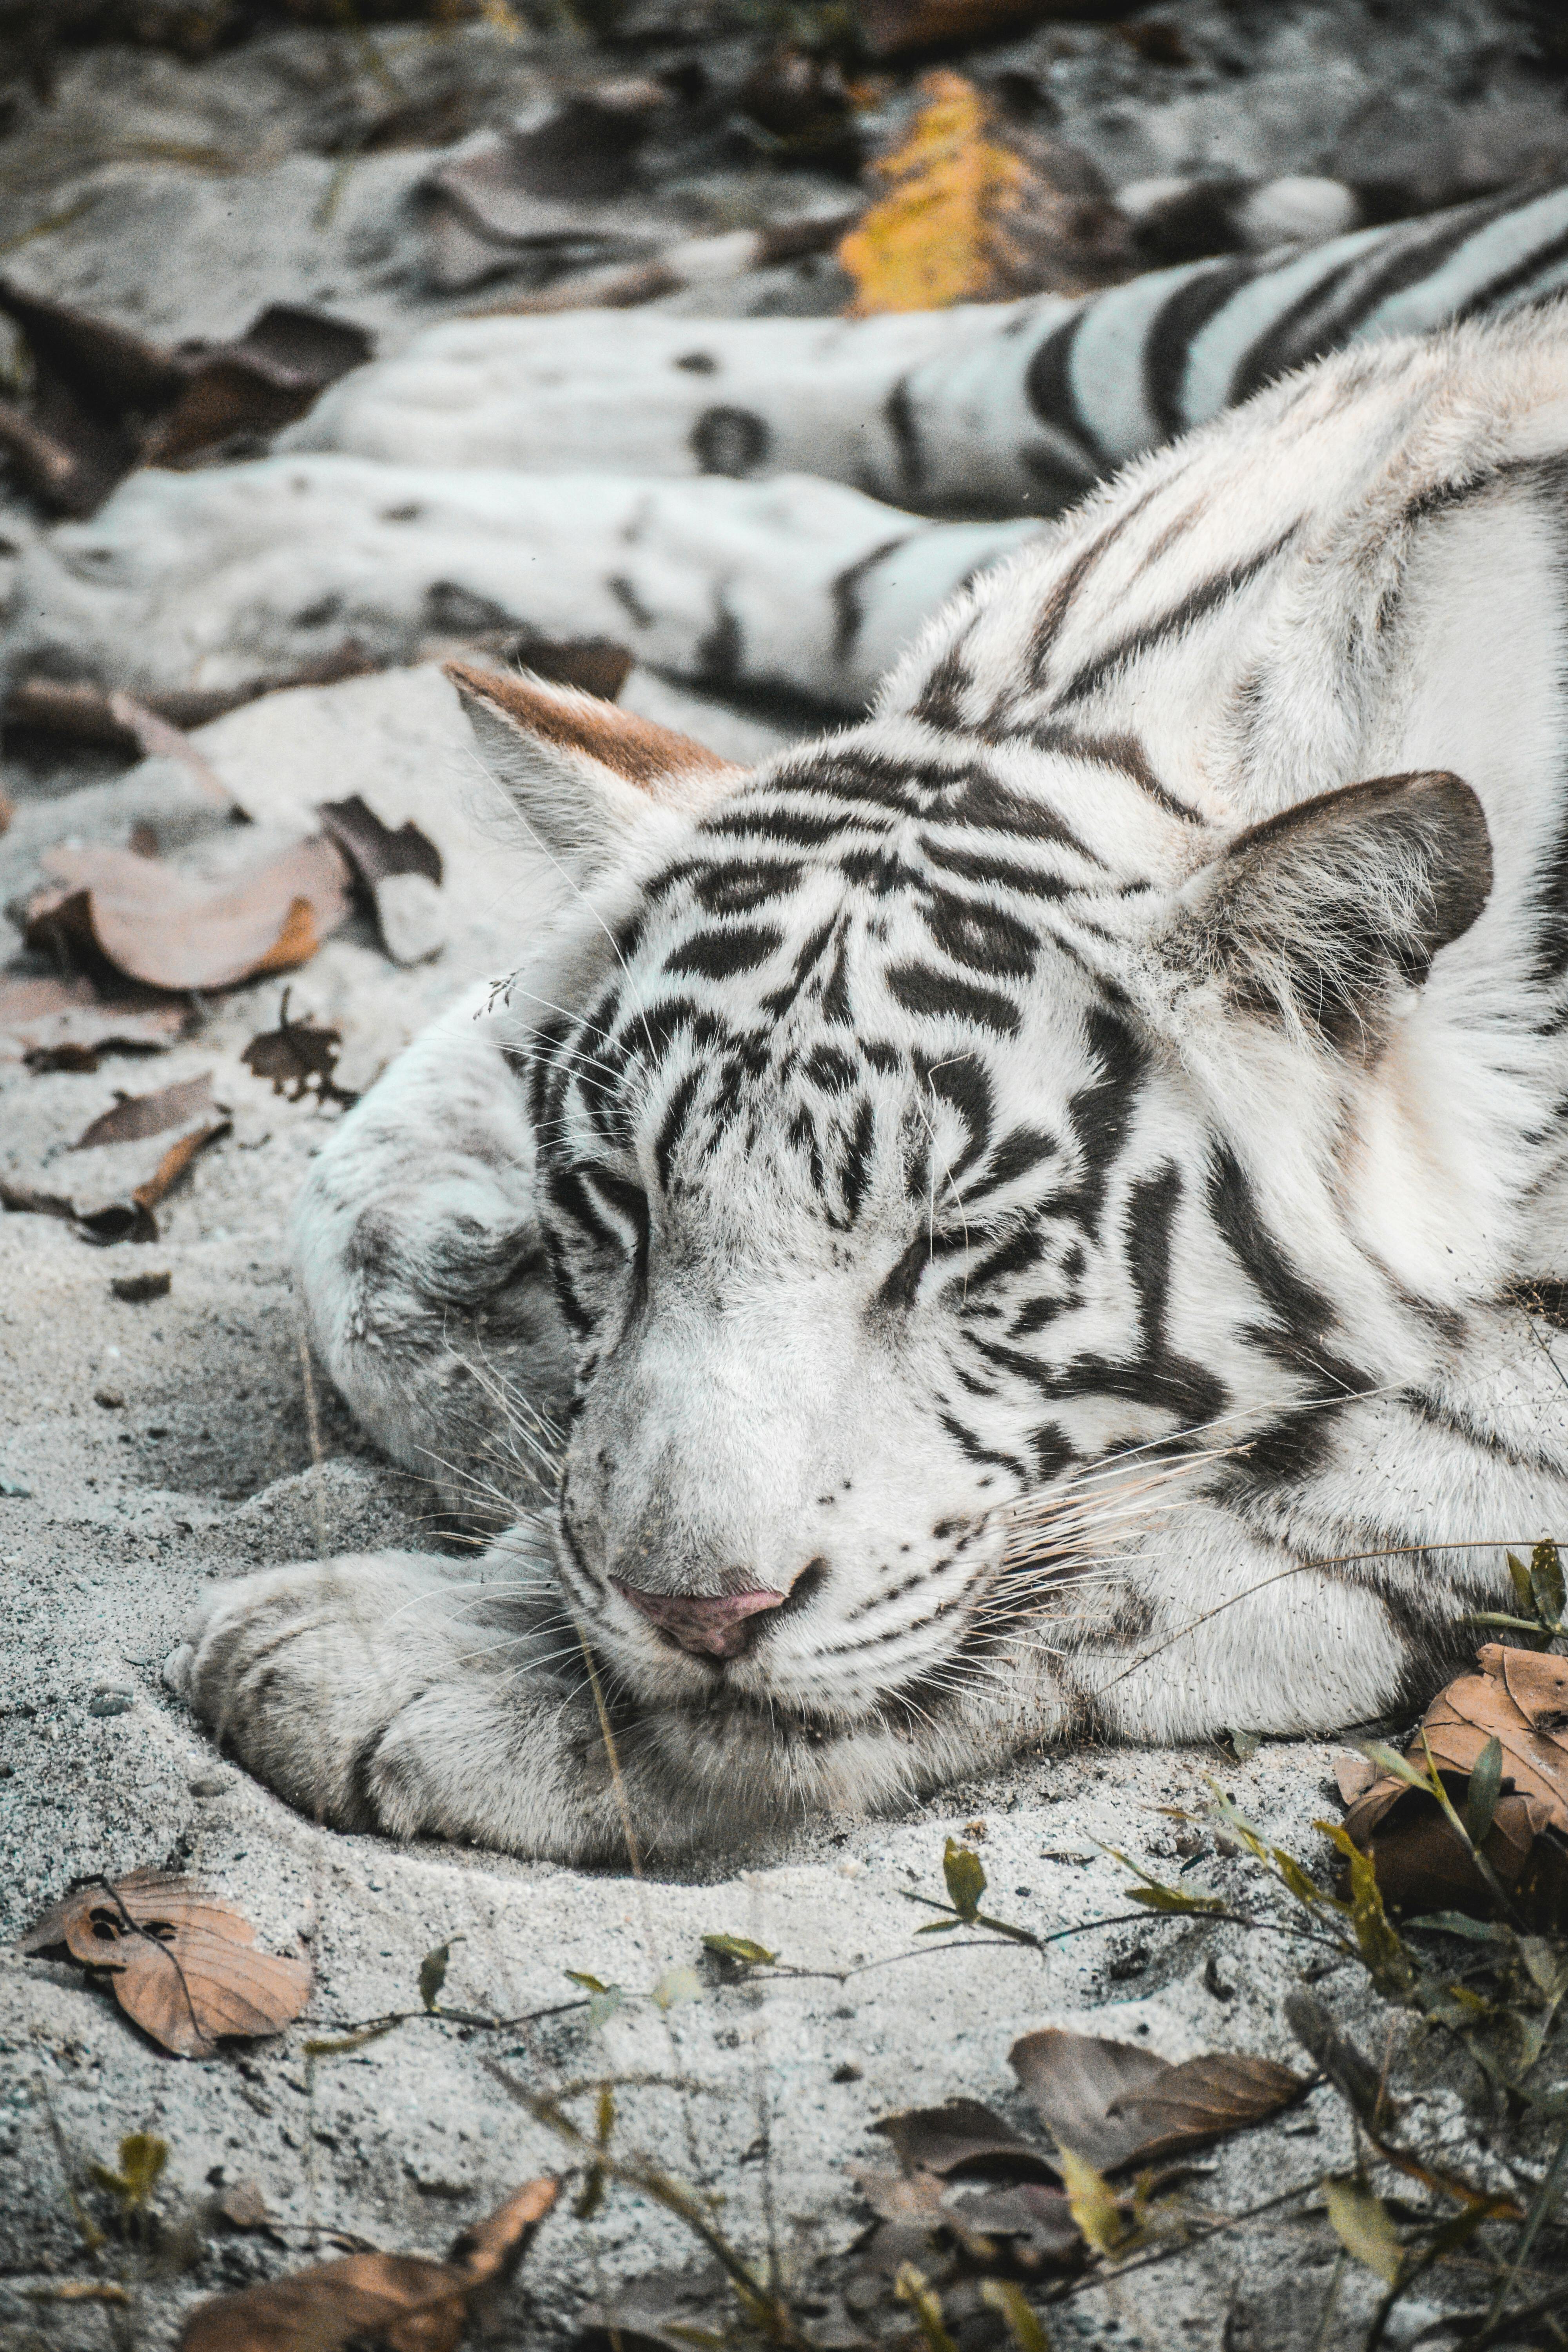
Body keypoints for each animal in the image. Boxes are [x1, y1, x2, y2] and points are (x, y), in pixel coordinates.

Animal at [169, 303, 1568, 1864]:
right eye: (620, 1199)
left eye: (961, 1243)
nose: (692, 1610)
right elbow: (349, 1214)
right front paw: (483, 1363)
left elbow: (1270, 1491)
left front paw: (430, 1659)